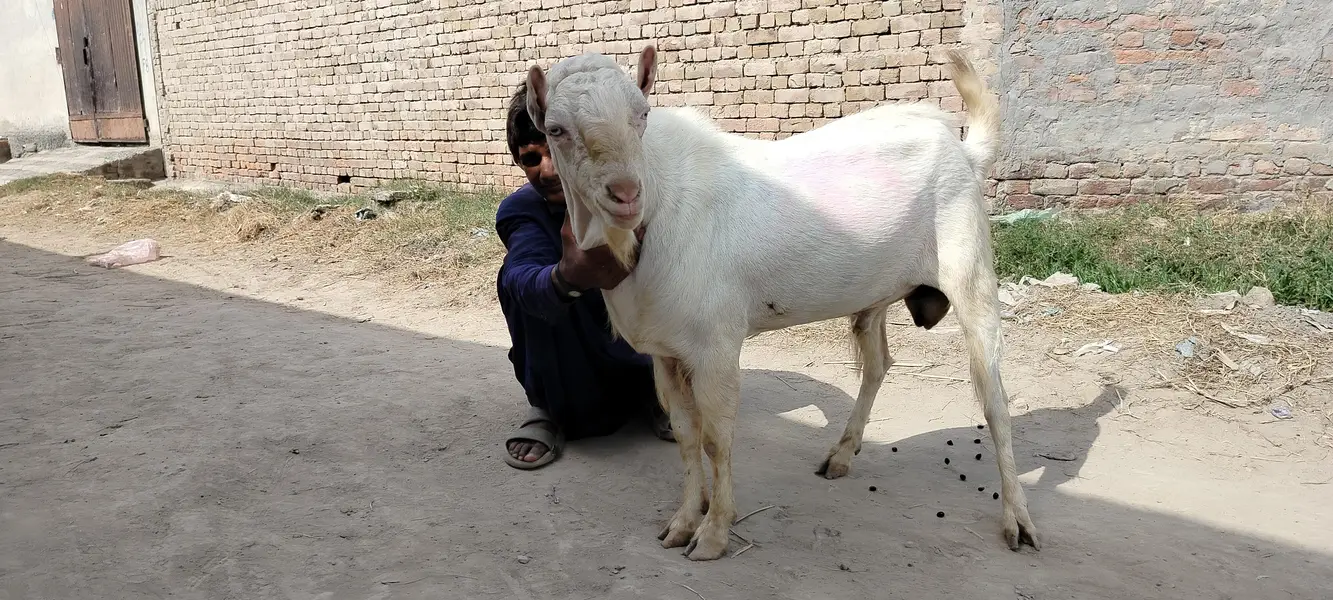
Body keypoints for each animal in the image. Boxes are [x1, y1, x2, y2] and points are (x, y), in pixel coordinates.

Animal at [526, 44, 1040, 561]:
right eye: (556, 130)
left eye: (642, 115)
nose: (626, 194)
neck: (657, 204)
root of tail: (965, 151)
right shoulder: (665, 352)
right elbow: (687, 437)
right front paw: (683, 522)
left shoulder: (716, 346)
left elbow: (716, 440)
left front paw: (713, 534)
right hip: (874, 294)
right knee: (878, 363)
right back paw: (841, 454)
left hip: (969, 266)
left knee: (994, 398)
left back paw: (1018, 518)